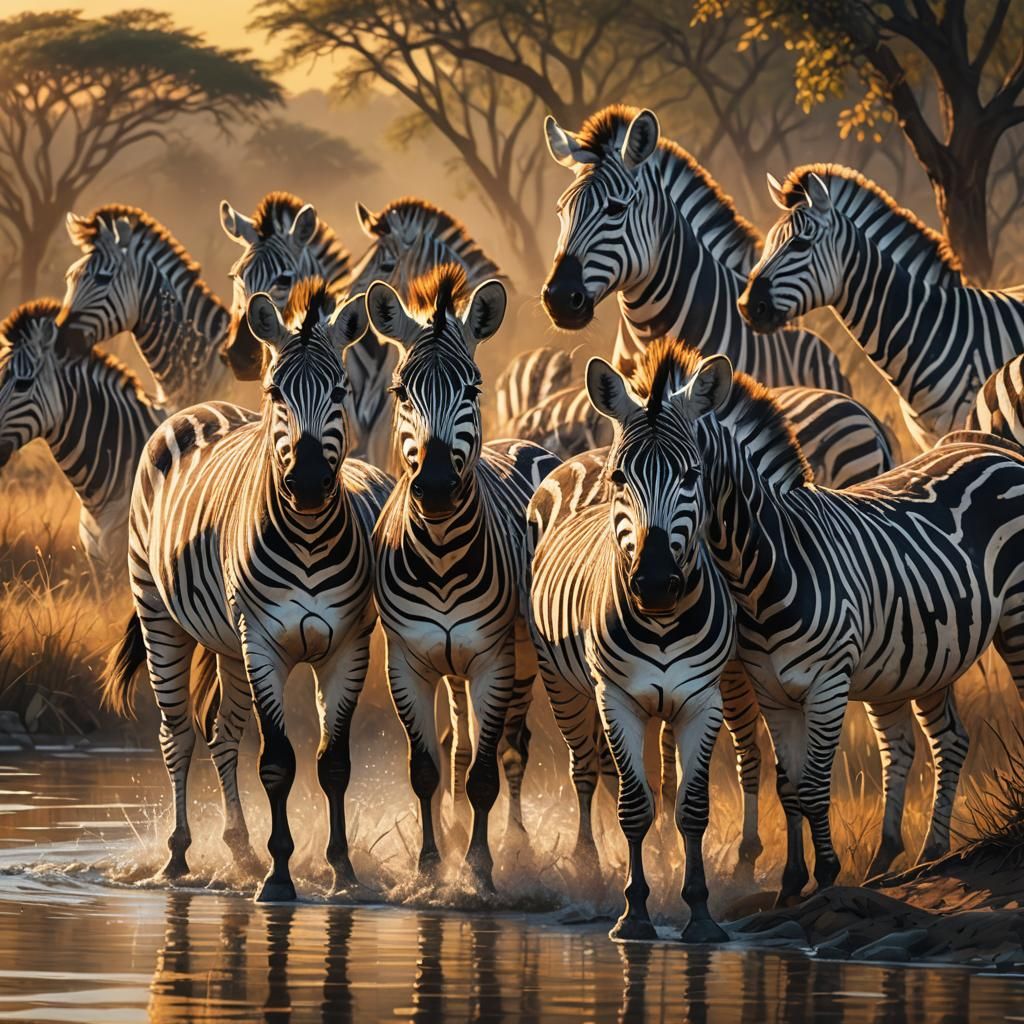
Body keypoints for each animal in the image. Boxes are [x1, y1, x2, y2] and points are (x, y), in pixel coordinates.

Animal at [100, 281, 391, 901]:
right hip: (161, 614)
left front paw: (343, 871)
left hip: (227, 645)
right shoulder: (264, 642)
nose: (308, 484)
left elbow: (334, 763)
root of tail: (198, 408)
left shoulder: (347, 646)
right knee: (179, 735)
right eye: (276, 391)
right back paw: (178, 857)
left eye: (340, 389)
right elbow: (277, 762)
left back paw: (239, 850)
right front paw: (280, 877)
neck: (309, 537)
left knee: (222, 735)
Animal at [365, 264, 560, 891]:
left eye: (472, 389)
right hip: (451, 667)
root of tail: (520, 442)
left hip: (521, 659)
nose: (434, 487)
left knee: (512, 750)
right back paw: (452, 829)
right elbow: (427, 767)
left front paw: (479, 869)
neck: (442, 552)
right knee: (457, 741)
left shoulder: (493, 660)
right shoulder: (407, 661)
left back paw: (516, 842)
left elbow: (485, 775)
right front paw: (431, 866)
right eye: (401, 391)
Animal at [527, 356, 738, 943]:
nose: (656, 583)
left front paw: (700, 913)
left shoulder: (702, 702)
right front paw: (634, 911)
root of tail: (586, 455)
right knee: (584, 770)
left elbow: (691, 806)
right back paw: (589, 866)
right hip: (564, 685)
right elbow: (632, 805)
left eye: (691, 476)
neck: (663, 620)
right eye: (622, 479)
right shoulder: (615, 697)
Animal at [654, 344, 1024, 902]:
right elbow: (789, 786)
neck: (770, 565)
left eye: (688, 475)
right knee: (940, 740)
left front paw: (825, 873)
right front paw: (791, 882)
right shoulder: (771, 690)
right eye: (621, 475)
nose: (650, 579)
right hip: (921, 654)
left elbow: (812, 785)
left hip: (1015, 621)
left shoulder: (826, 683)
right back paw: (910, 856)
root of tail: (988, 446)